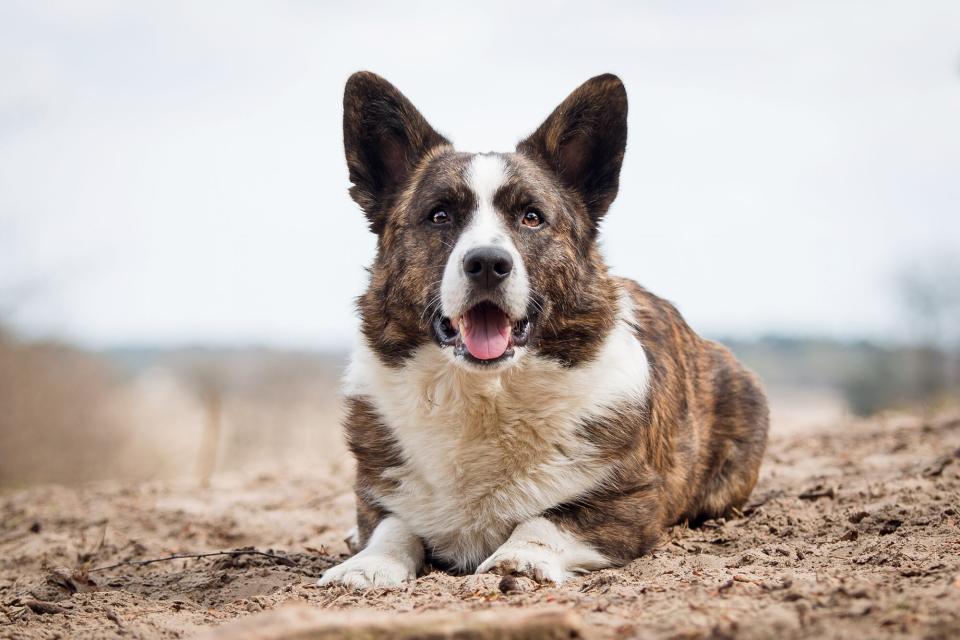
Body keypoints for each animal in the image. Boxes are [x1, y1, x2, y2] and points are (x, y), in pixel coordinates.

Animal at [318, 72, 768, 588]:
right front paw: (367, 564)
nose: (487, 263)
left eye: (531, 217)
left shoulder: (627, 500)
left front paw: (519, 559)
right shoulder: (378, 494)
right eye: (439, 215)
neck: (485, 392)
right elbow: (392, 526)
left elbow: (547, 520)